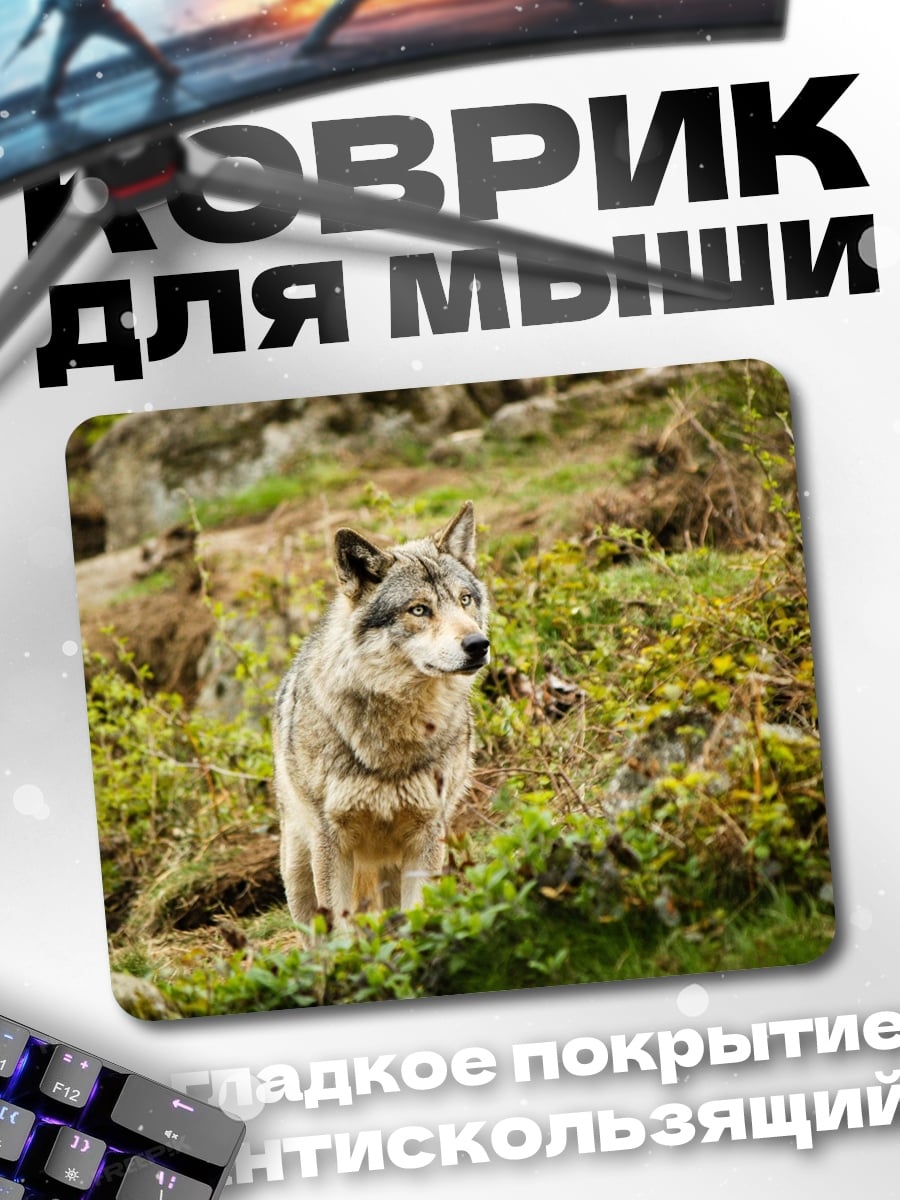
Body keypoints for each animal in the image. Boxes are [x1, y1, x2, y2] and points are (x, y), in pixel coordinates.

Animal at [272, 501, 490, 924]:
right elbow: (339, 928)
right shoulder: (332, 843)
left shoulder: (427, 835)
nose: (478, 644)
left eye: (465, 600)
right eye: (419, 610)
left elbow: (417, 914)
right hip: (299, 871)